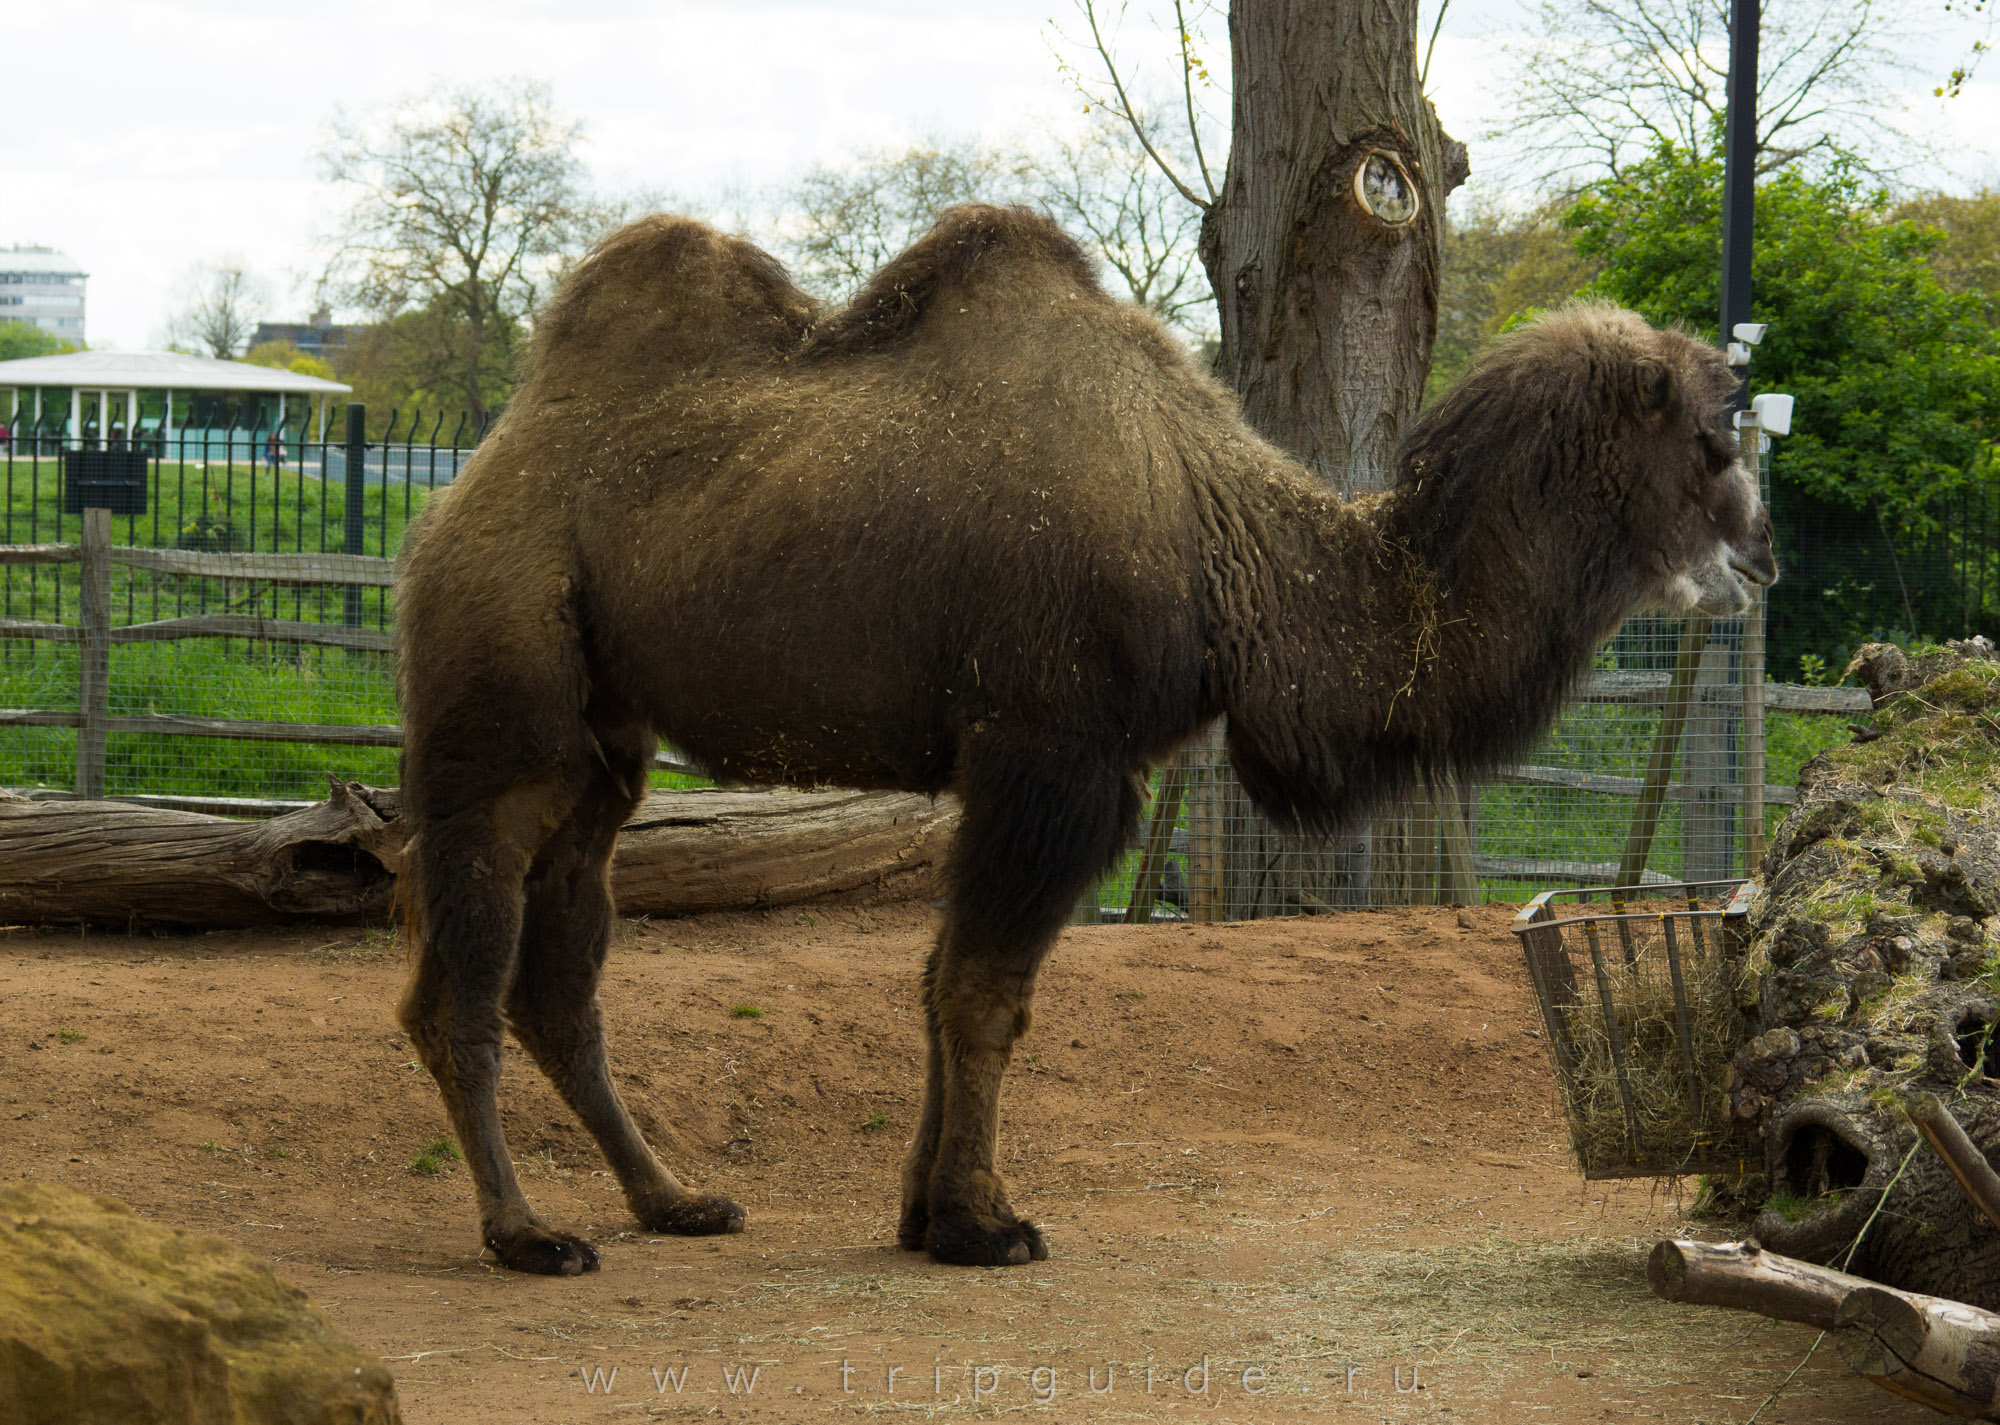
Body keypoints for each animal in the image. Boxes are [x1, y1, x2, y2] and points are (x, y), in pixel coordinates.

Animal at [398, 197, 1776, 1272]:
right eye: (1711, 443)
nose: (1761, 560)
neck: (1225, 545)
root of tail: (466, 481)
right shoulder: (1049, 752)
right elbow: (982, 991)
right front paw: (982, 1226)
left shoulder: (1050, 770)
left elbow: (940, 981)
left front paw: (925, 1215)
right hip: (500, 693)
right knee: (459, 975)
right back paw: (526, 1236)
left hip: (606, 746)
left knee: (560, 977)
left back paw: (672, 1202)